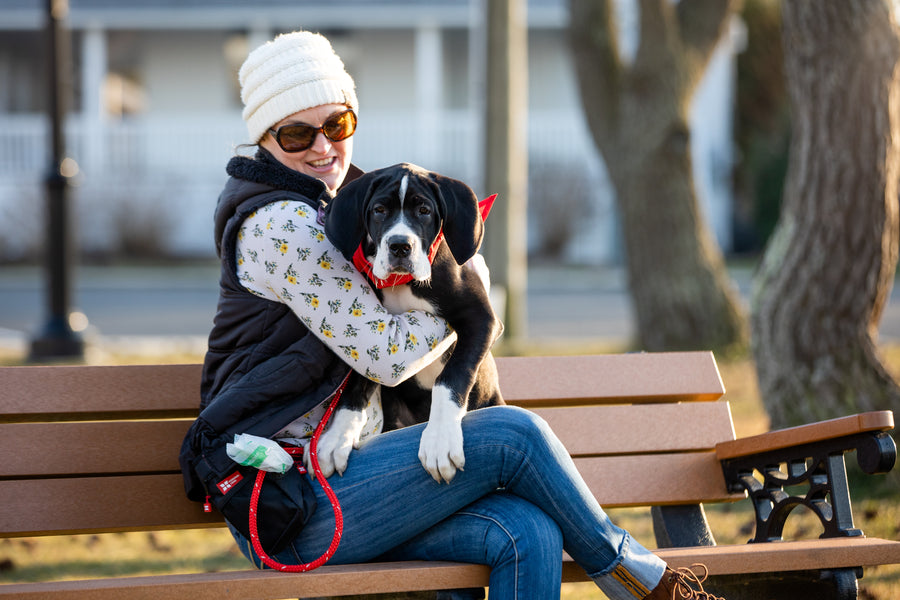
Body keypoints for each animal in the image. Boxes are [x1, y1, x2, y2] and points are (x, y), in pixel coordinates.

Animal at [316, 163, 502, 482]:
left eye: (424, 211)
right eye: (379, 210)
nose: (400, 246)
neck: (401, 282)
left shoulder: (482, 318)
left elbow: (452, 377)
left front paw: (440, 441)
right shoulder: (370, 339)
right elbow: (355, 386)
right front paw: (336, 438)